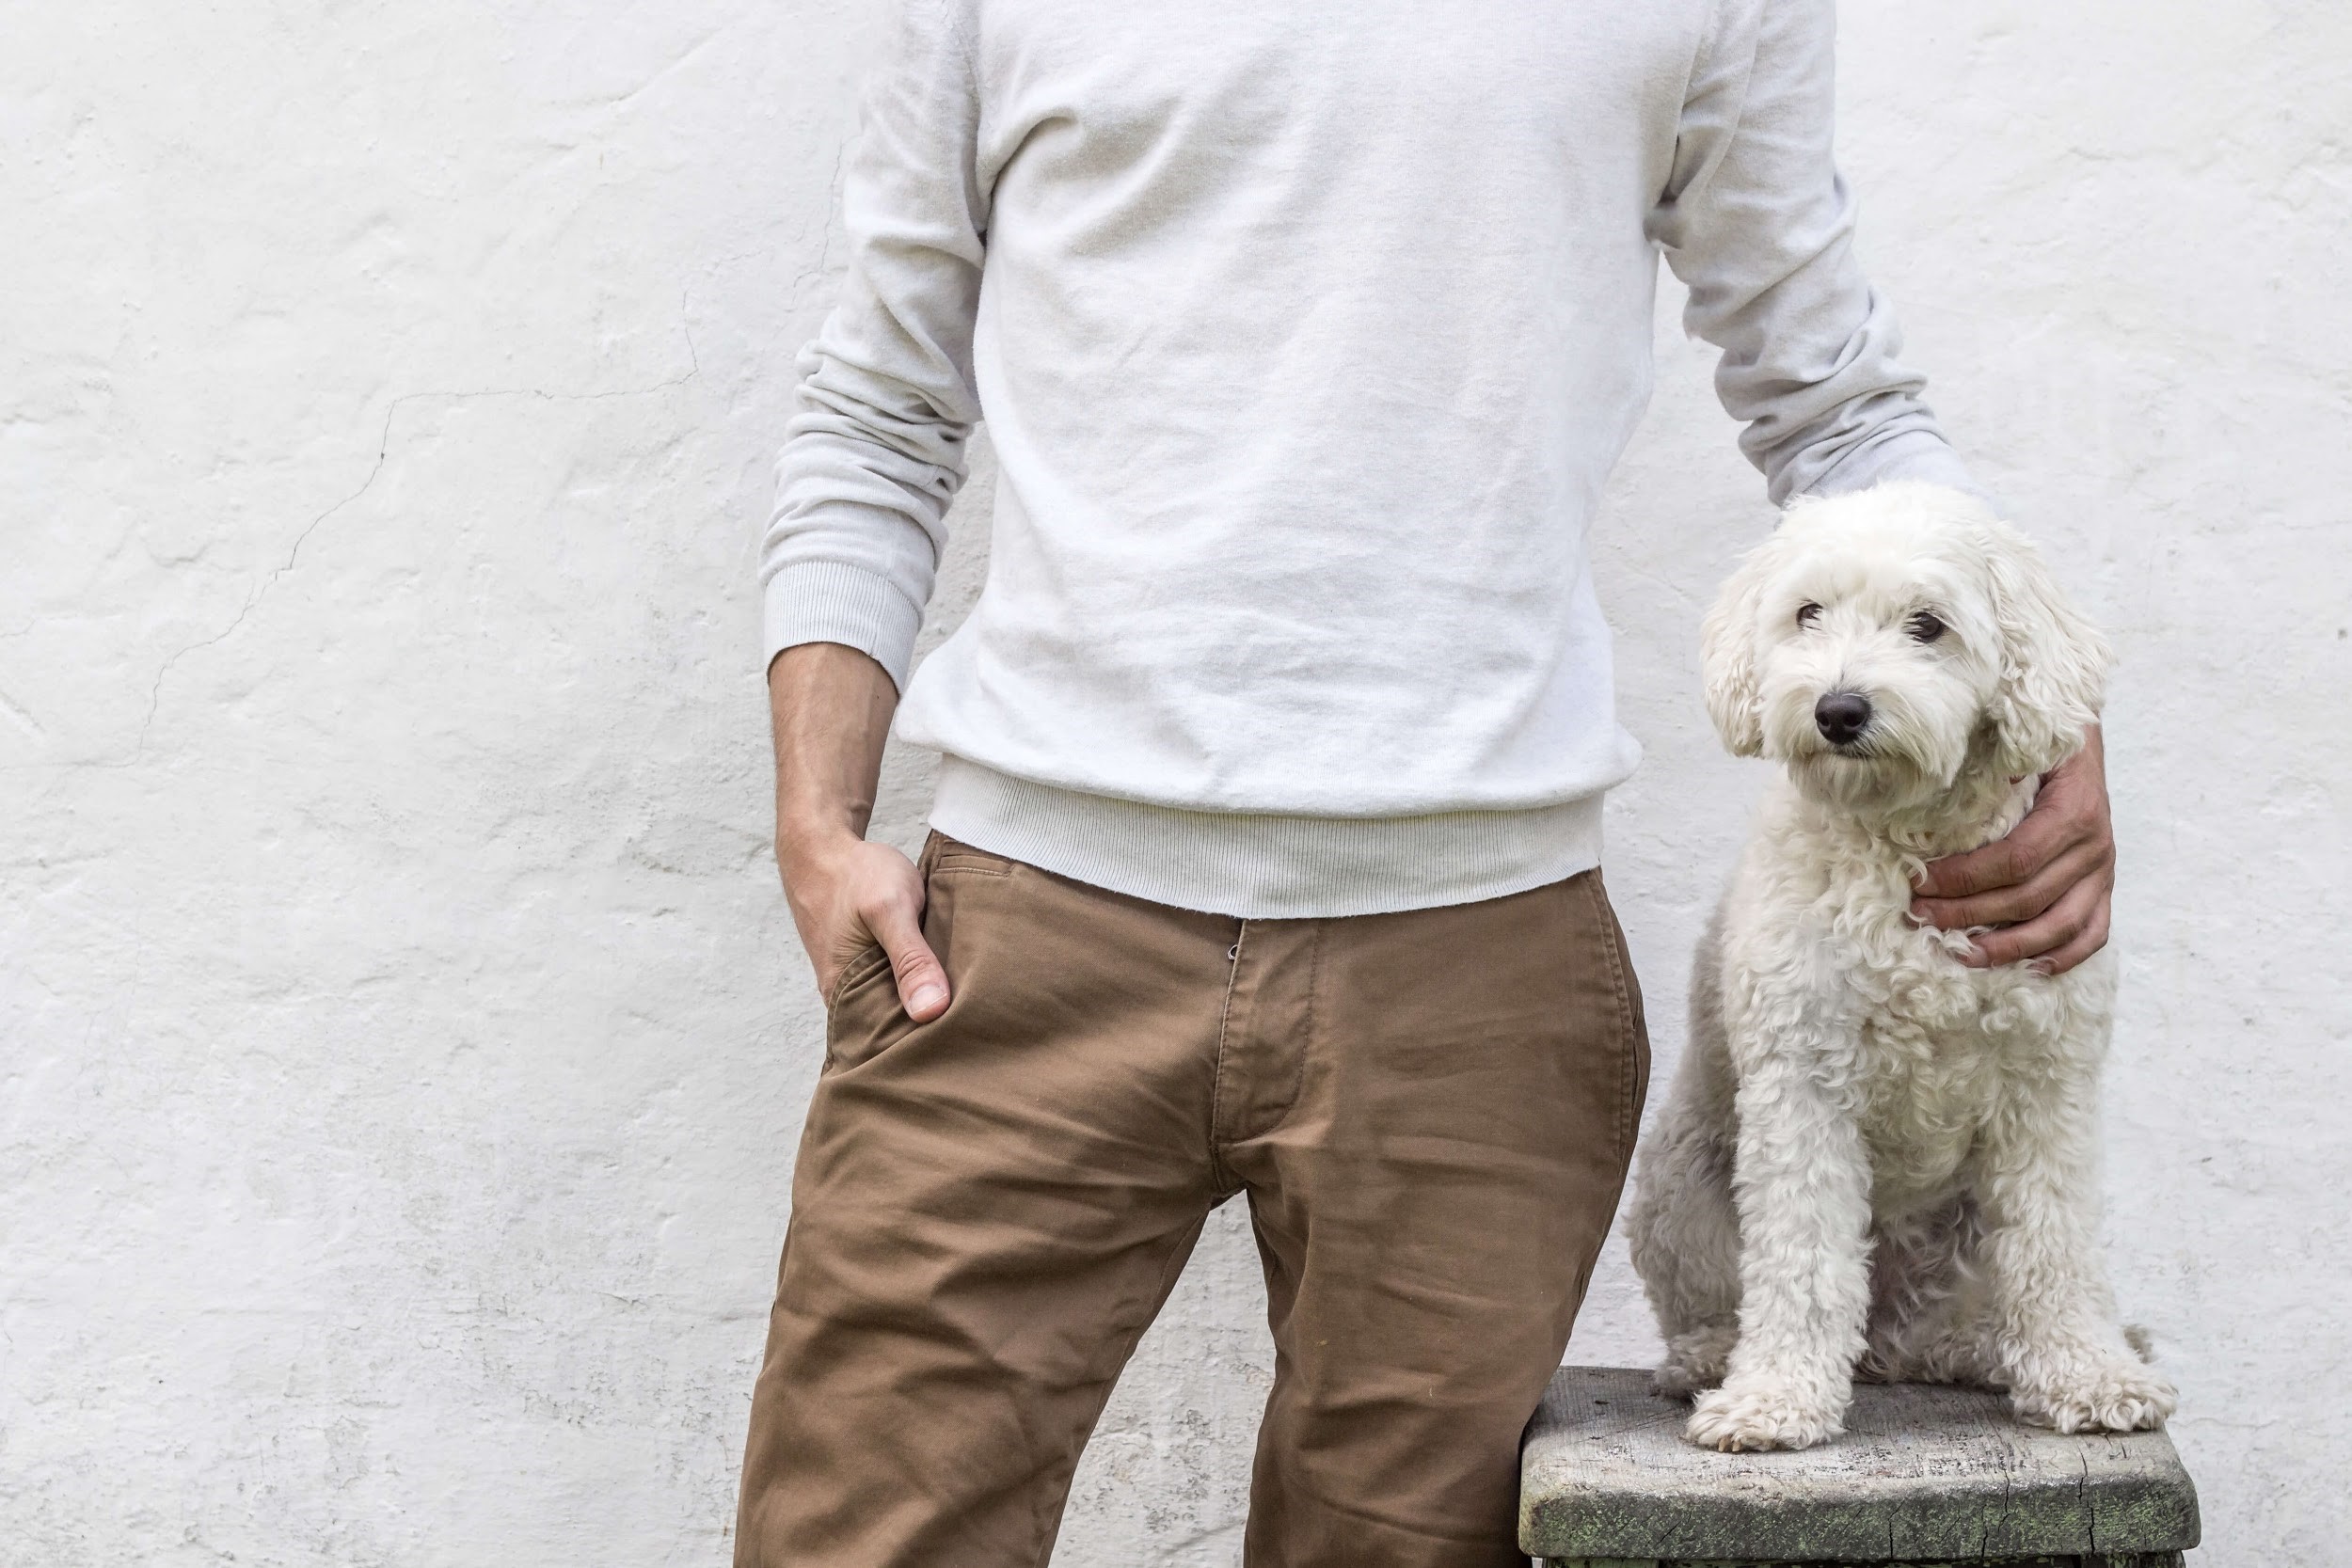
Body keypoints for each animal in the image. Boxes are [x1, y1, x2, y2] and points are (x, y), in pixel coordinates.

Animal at [1628, 483, 2173, 1457]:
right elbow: (1802, 1259)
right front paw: (1776, 1400)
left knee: (1955, 1320)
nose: (1839, 709)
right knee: (1730, 1299)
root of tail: (1885, 1340)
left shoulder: (2048, 1084)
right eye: (1807, 613)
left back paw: (1982, 1351)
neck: (1903, 838)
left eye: (1928, 625)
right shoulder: (1802, 1083)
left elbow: (2056, 1243)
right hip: (1678, 1187)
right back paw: (1712, 1355)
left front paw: (2089, 1375)